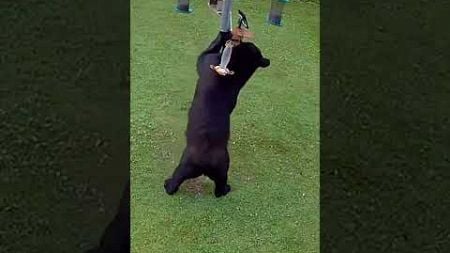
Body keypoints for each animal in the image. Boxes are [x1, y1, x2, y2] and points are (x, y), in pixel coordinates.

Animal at [163, 0, 268, 198]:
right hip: (207, 170)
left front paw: (224, 34)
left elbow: (213, 45)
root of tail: (205, 163)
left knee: (191, 186)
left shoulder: (205, 59)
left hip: (199, 167)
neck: (235, 66)